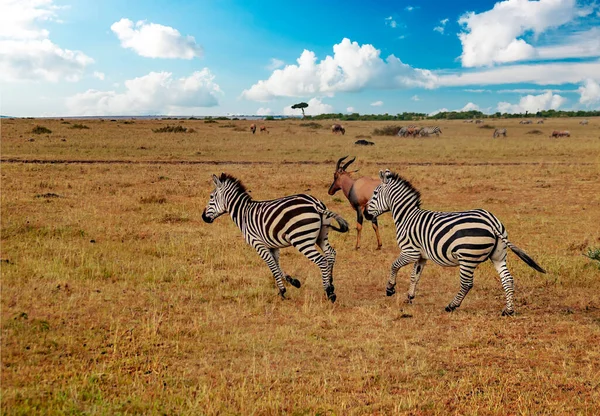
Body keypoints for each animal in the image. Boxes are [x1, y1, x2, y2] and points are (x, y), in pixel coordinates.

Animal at [204, 173, 350, 302]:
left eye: (211, 196)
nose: (203, 217)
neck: (243, 214)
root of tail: (316, 205)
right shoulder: (272, 245)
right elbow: (276, 264)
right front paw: (293, 281)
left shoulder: (258, 243)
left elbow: (271, 265)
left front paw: (282, 291)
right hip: (322, 236)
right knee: (331, 253)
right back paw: (331, 284)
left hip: (302, 240)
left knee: (322, 261)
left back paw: (329, 292)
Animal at [364, 169, 548, 316]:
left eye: (374, 194)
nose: (365, 214)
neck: (407, 216)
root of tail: (491, 222)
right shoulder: (421, 256)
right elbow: (414, 276)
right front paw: (409, 297)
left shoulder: (410, 252)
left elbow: (394, 265)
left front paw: (390, 289)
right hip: (498, 255)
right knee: (507, 279)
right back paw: (508, 310)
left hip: (467, 257)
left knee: (467, 283)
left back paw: (451, 306)